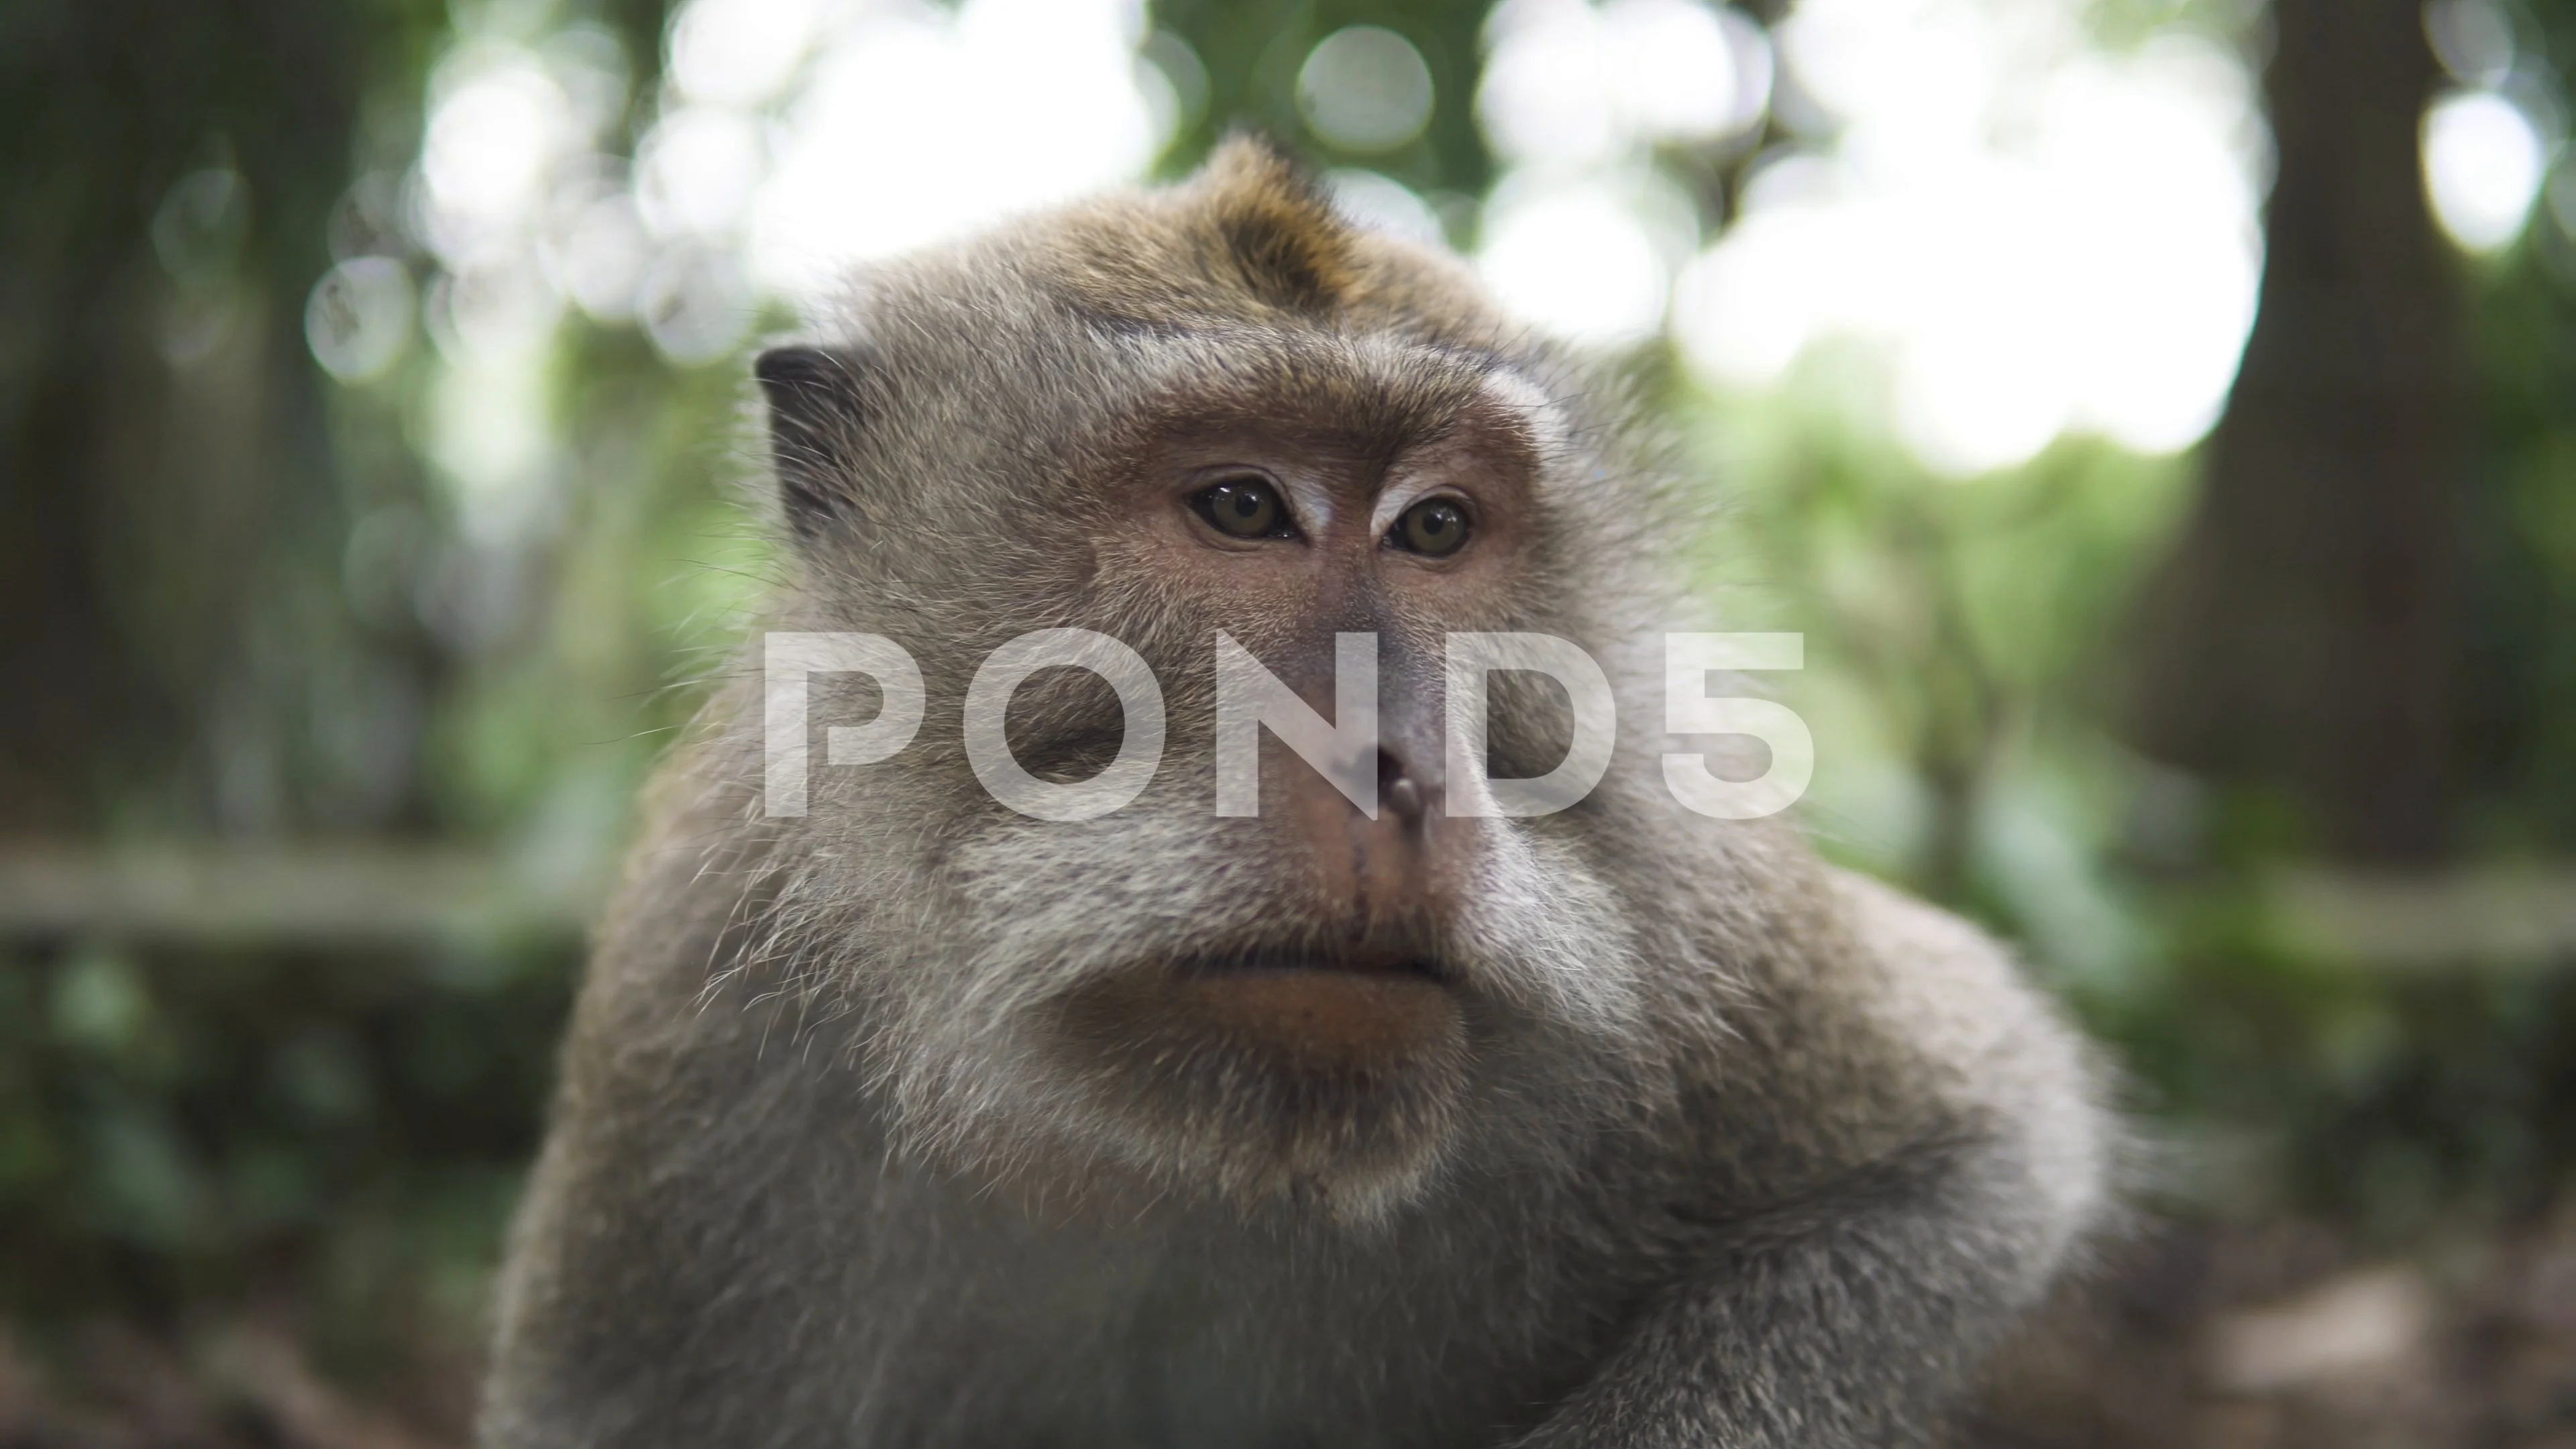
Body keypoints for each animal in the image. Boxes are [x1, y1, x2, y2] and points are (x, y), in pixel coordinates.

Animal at [479, 144, 2112, 1444]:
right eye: (1242, 507)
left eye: (1436, 528)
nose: (1392, 768)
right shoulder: (691, 1018)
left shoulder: (1697, 922)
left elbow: (1983, 1150)